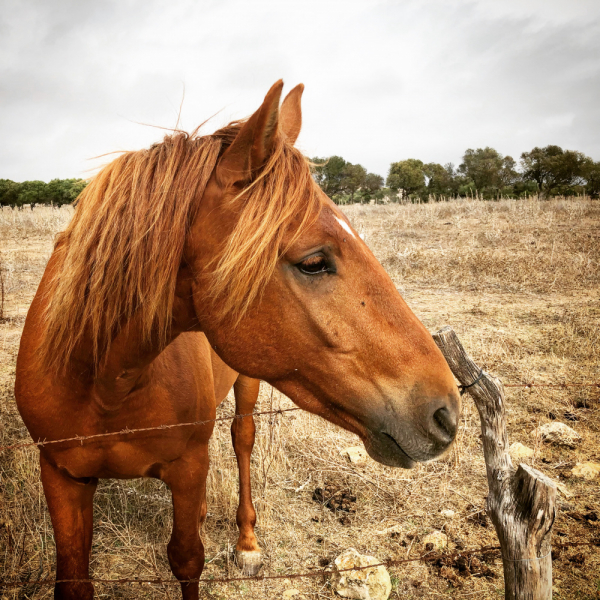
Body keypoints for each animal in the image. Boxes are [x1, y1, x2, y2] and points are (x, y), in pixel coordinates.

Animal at [16, 81, 462, 600]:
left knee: (242, 439)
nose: (446, 412)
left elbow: (187, 558)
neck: (105, 381)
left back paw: (247, 542)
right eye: (314, 262)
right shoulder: (61, 475)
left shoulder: (188, 466)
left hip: (248, 385)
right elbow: (74, 577)